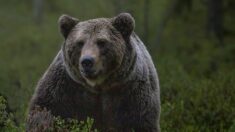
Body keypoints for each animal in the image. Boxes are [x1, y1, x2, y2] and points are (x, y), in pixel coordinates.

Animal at [26, 12, 161, 132]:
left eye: (101, 42)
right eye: (80, 42)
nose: (87, 61)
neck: (98, 85)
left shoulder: (131, 91)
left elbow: (140, 122)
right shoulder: (65, 87)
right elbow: (46, 112)